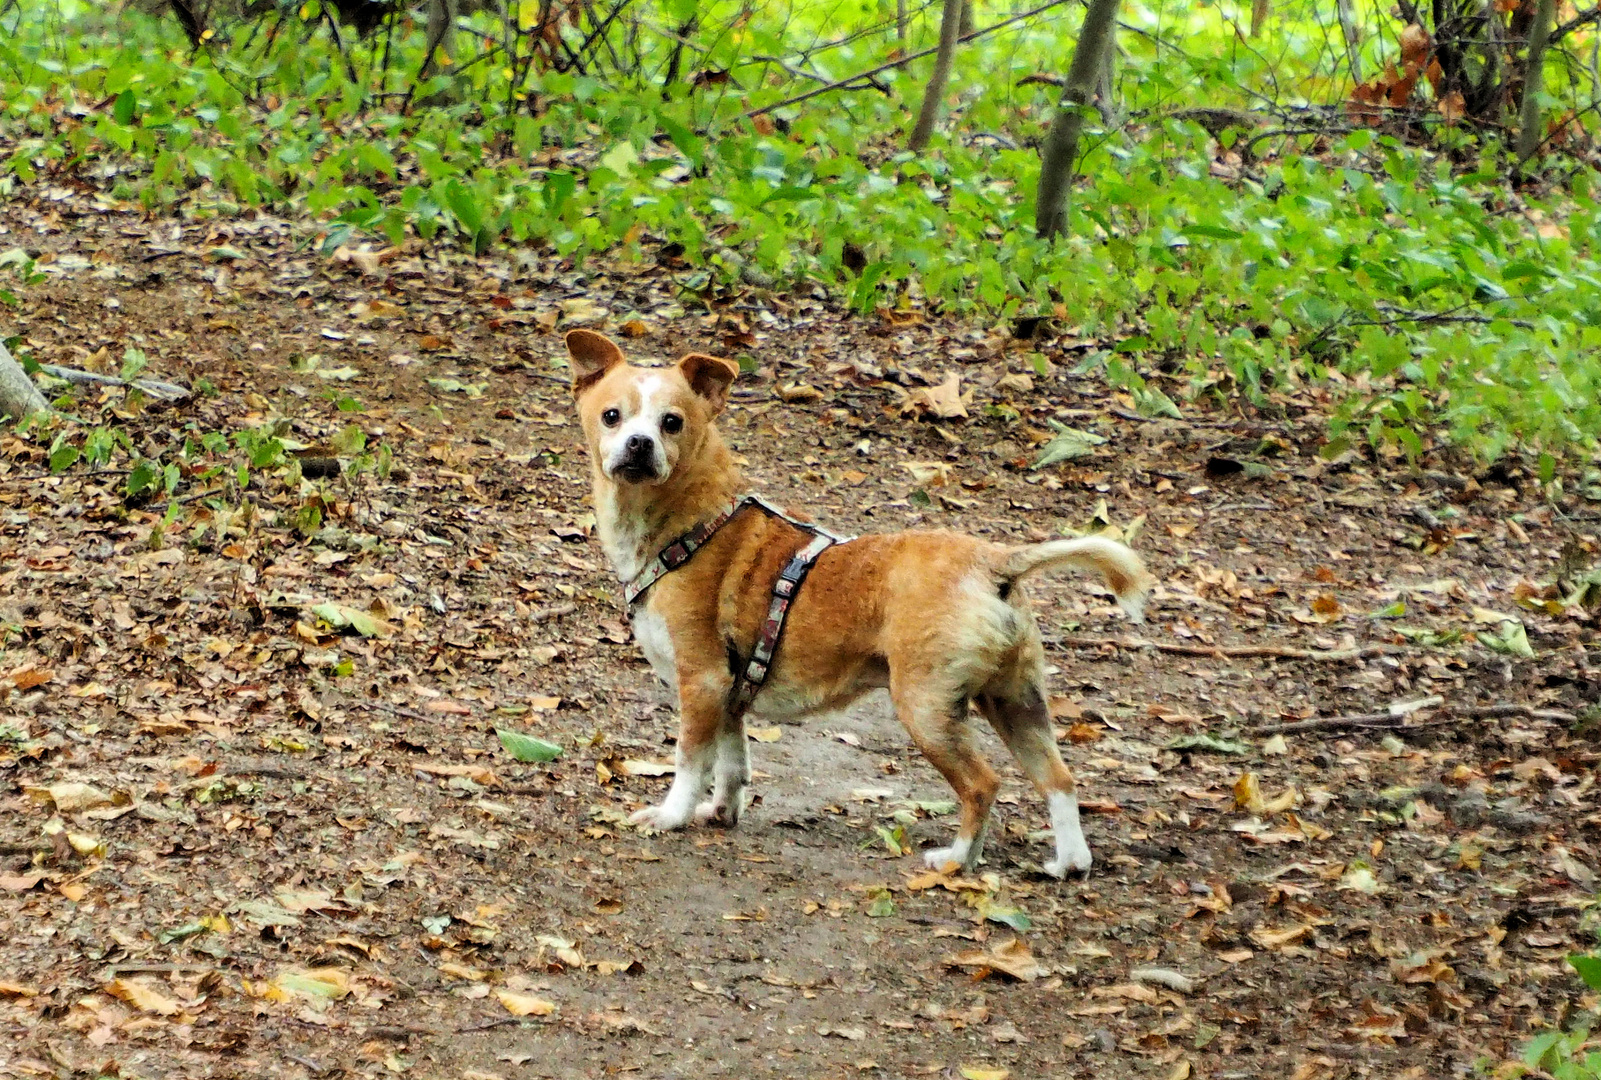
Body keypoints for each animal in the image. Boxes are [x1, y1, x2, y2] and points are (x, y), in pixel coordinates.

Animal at [563, 329, 1152, 876]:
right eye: (613, 416)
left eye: (672, 423)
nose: (639, 444)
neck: (692, 524)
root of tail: (993, 561)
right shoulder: (731, 694)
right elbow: (733, 766)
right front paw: (721, 814)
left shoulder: (702, 681)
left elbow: (690, 763)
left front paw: (670, 817)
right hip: (1016, 702)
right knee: (1059, 780)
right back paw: (1069, 863)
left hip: (926, 709)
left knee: (983, 784)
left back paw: (956, 860)